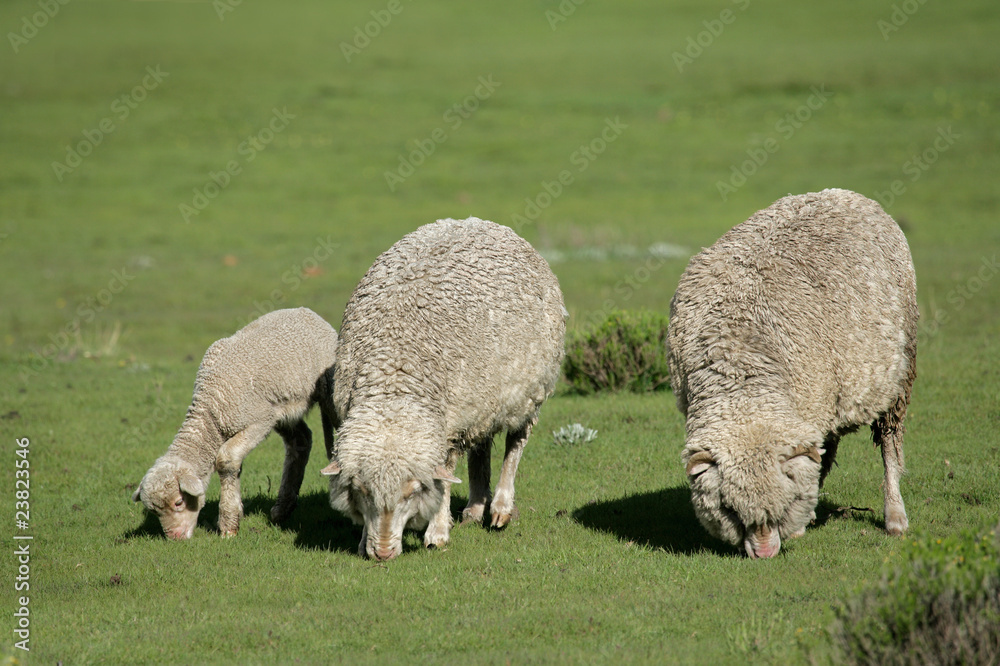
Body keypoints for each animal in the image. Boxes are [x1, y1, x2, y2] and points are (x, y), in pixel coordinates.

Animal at [132, 307, 338, 539]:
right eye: (154, 511)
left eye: (178, 502)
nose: (174, 537)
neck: (211, 411)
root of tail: (306, 311)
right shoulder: (263, 416)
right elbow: (234, 466)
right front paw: (236, 512)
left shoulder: (259, 421)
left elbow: (226, 460)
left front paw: (228, 526)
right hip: (281, 408)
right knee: (301, 440)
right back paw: (283, 508)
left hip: (323, 390)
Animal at [321, 217, 566, 560]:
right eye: (362, 491)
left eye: (412, 492)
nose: (383, 553)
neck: (394, 381)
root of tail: (484, 222)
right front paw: (363, 541)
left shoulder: (448, 428)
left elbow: (445, 478)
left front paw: (436, 532)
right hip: (481, 399)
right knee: (481, 448)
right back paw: (475, 509)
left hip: (529, 390)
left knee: (515, 444)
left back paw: (500, 507)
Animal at [667, 188, 918, 558]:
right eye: (730, 511)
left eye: (784, 506)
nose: (764, 554)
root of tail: (848, 194)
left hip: (898, 374)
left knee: (889, 442)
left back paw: (895, 516)